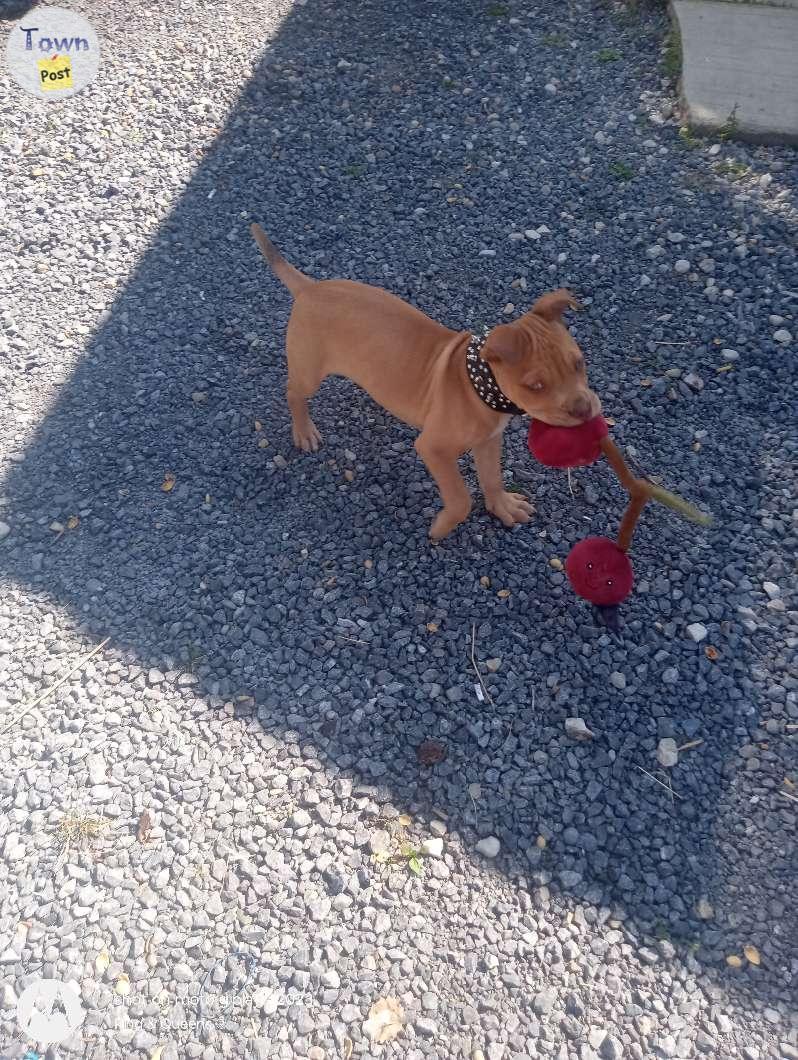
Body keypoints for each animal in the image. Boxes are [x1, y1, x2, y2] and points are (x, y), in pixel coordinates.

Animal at [252, 222, 601, 538]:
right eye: (535, 386)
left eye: (579, 363)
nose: (584, 410)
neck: (479, 385)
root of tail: (310, 287)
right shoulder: (433, 448)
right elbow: (460, 499)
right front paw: (441, 528)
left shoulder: (488, 441)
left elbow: (492, 477)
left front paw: (502, 506)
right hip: (309, 371)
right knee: (293, 392)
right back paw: (304, 431)